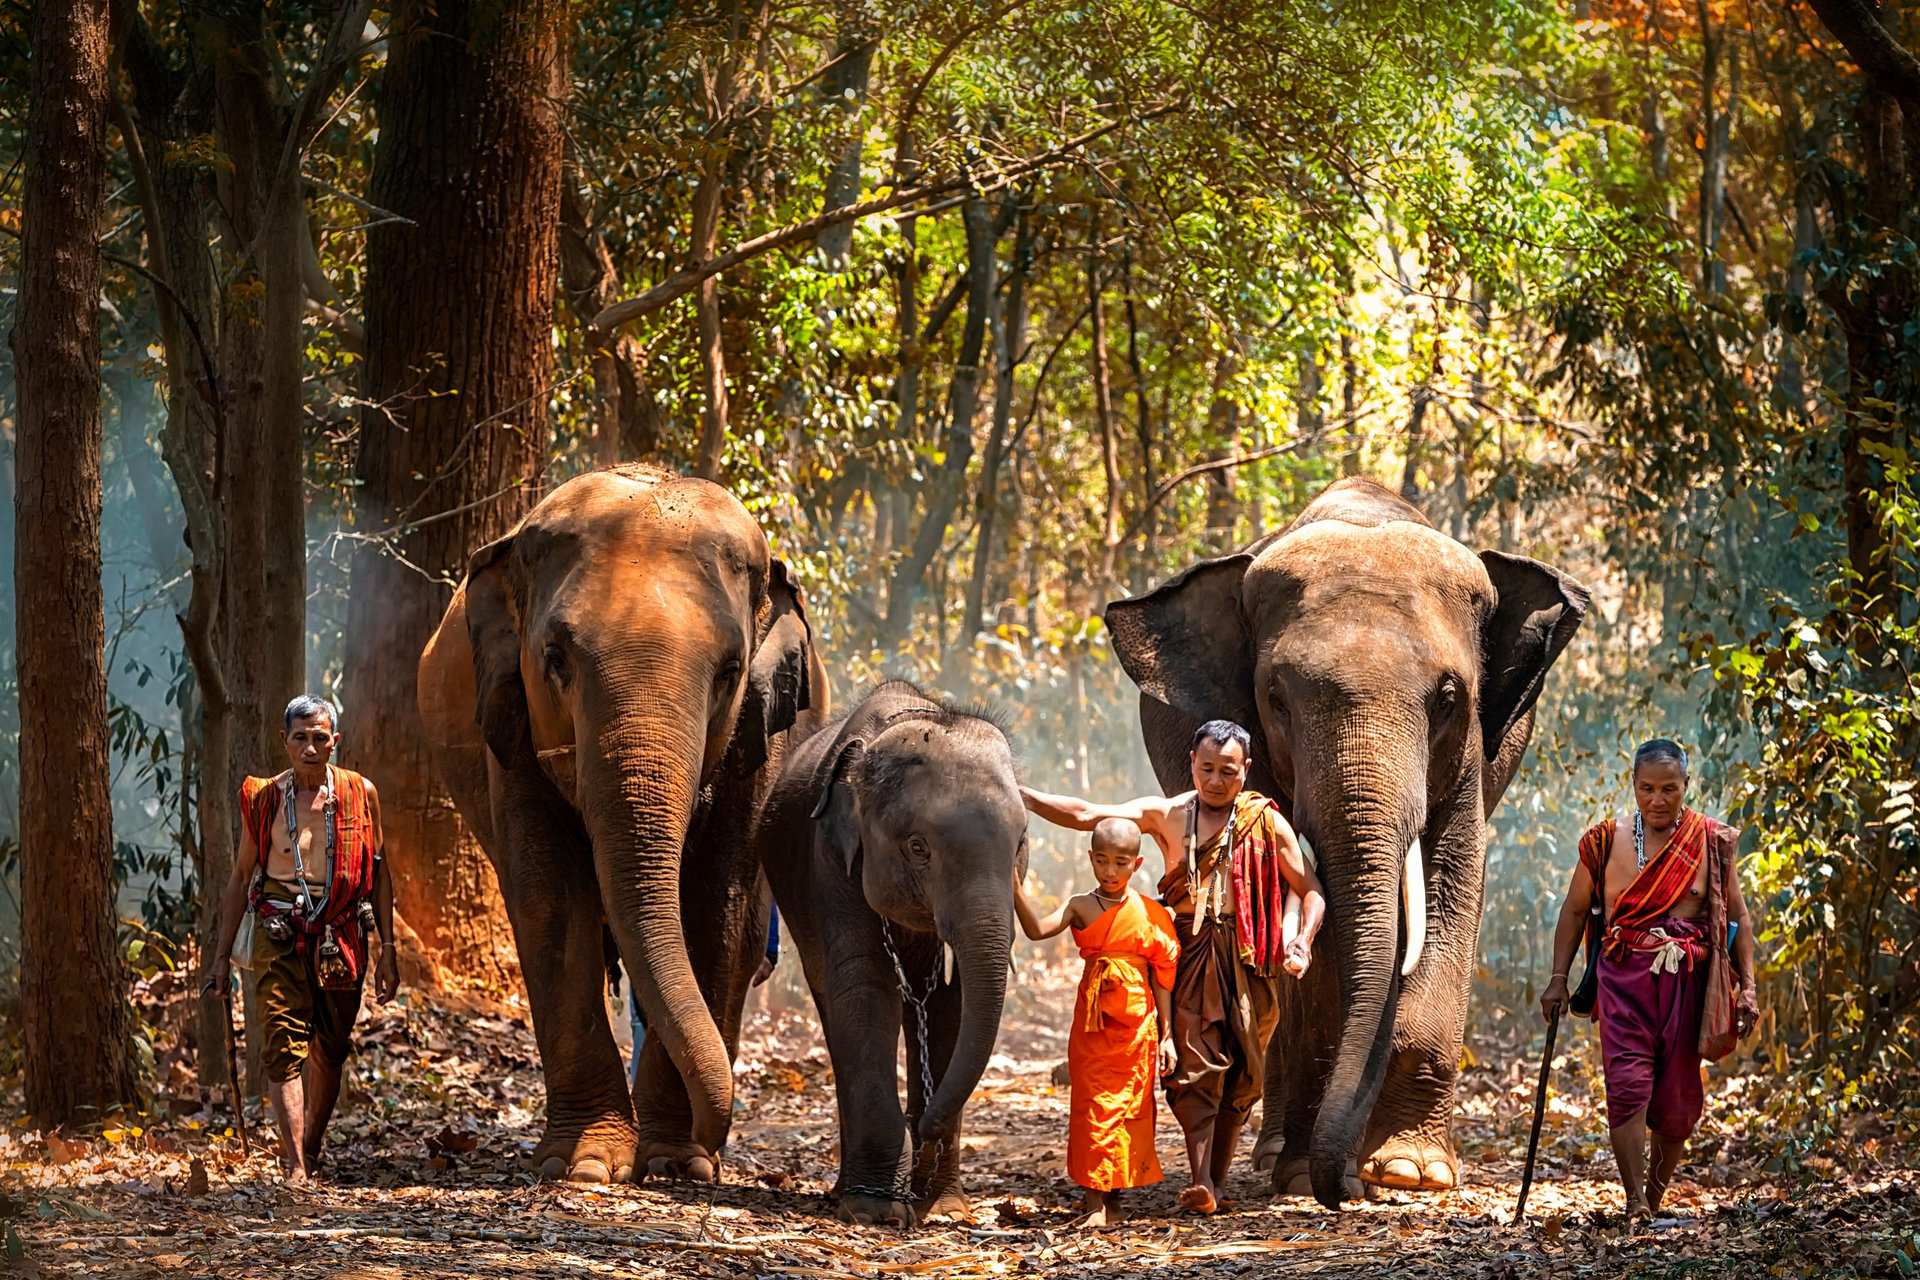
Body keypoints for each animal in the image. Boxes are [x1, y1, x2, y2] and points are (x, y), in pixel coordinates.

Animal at [417, 463, 828, 1183]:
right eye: (555, 657)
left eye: (730, 672)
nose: (714, 1135)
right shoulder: (510, 728)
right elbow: (548, 900)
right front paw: (581, 1166)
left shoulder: (762, 743)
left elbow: (718, 905)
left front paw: (676, 1163)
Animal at [756, 681, 1027, 1226]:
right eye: (918, 847)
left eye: (1020, 846)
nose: (924, 1127)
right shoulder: (830, 863)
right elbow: (864, 989)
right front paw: (877, 1211)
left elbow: (952, 1005)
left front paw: (942, 1208)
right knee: (836, 1008)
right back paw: (851, 1192)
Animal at [1105, 477, 1588, 1210]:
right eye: (1276, 698)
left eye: (1449, 697)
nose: (1348, 1189)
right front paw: (1306, 1174)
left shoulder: (1472, 757)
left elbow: (1453, 881)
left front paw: (1411, 1174)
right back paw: (1279, 1152)